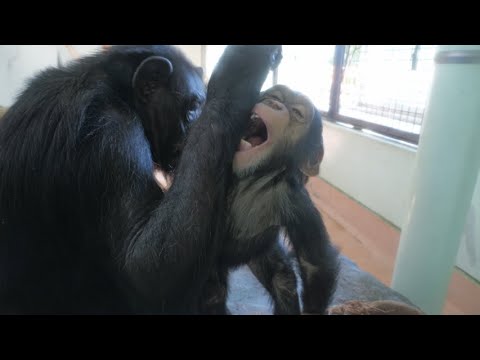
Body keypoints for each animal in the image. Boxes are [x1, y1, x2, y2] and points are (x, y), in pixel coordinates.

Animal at [0, 45, 282, 316]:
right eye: (193, 107)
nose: (194, 128)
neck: (121, 93)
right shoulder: (112, 134)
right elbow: (147, 268)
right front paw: (243, 66)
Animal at [199, 84, 342, 316]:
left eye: (297, 113)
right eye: (274, 96)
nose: (273, 104)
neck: (250, 178)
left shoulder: (297, 203)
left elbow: (314, 263)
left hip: (259, 254)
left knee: (283, 281)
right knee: (213, 292)